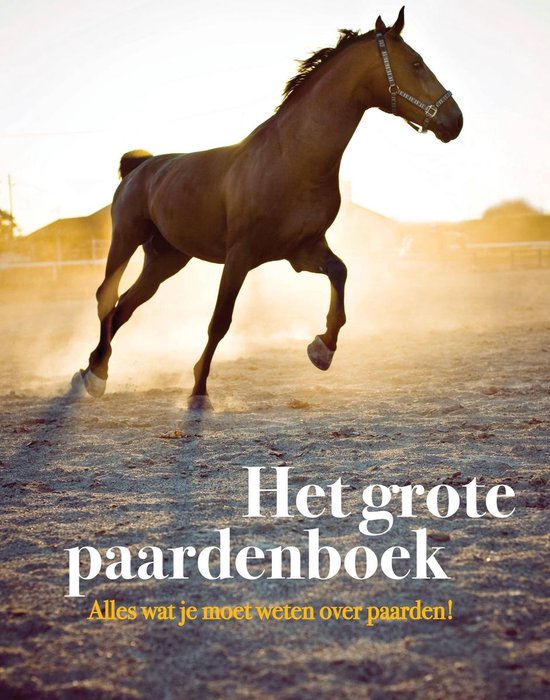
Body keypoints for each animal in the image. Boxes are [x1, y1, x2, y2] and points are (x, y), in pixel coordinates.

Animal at [74, 7, 463, 409]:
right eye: (416, 63)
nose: (455, 121)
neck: (292, 158)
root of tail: (141, 166)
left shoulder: (302, 250)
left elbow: (340, 274)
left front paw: (322, 349)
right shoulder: (240, 256)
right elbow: (220, 321)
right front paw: (199, 392)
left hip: (166, 259)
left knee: (125, 306)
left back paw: (95, 369)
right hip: (126, 240)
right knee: (108, 297)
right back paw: (94, 376)